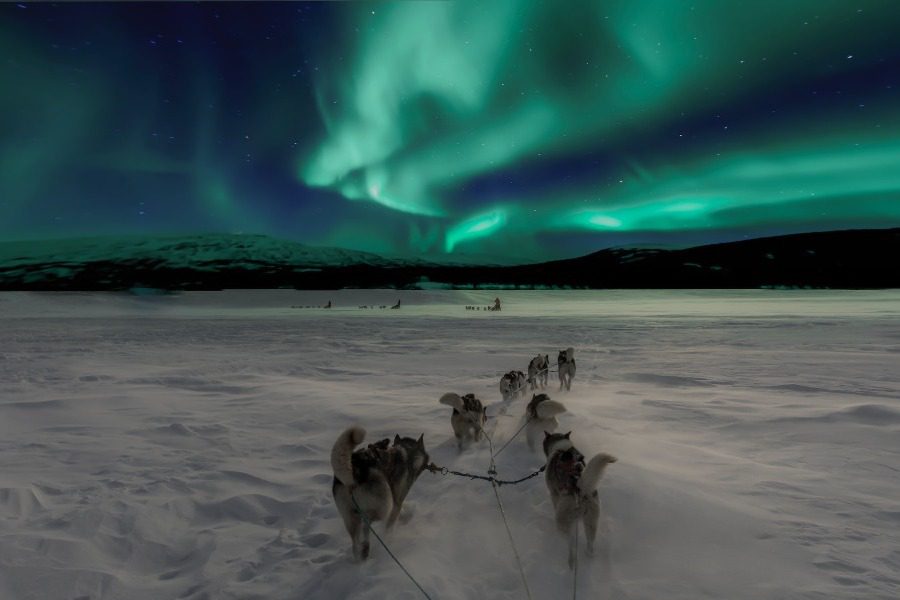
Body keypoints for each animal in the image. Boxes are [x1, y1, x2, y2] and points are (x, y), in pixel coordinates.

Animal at [330, 424, 428, 560]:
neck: (407, 454)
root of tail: (355, 469)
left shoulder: (396, 498)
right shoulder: (396, 502)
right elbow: (390, 524)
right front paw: (390, 538)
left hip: (349, 517)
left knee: (355, 542)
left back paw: (361, 554)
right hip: (384, 504)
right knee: (367, 524)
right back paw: (366, 544)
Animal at [544, 432, 616, 568]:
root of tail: (581, 489)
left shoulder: (554, 494)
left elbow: (554, 503)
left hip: (563, 523)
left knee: (571, 544)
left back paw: (571, 562)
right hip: (591, 522)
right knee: (590, 544)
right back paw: (588, 554)